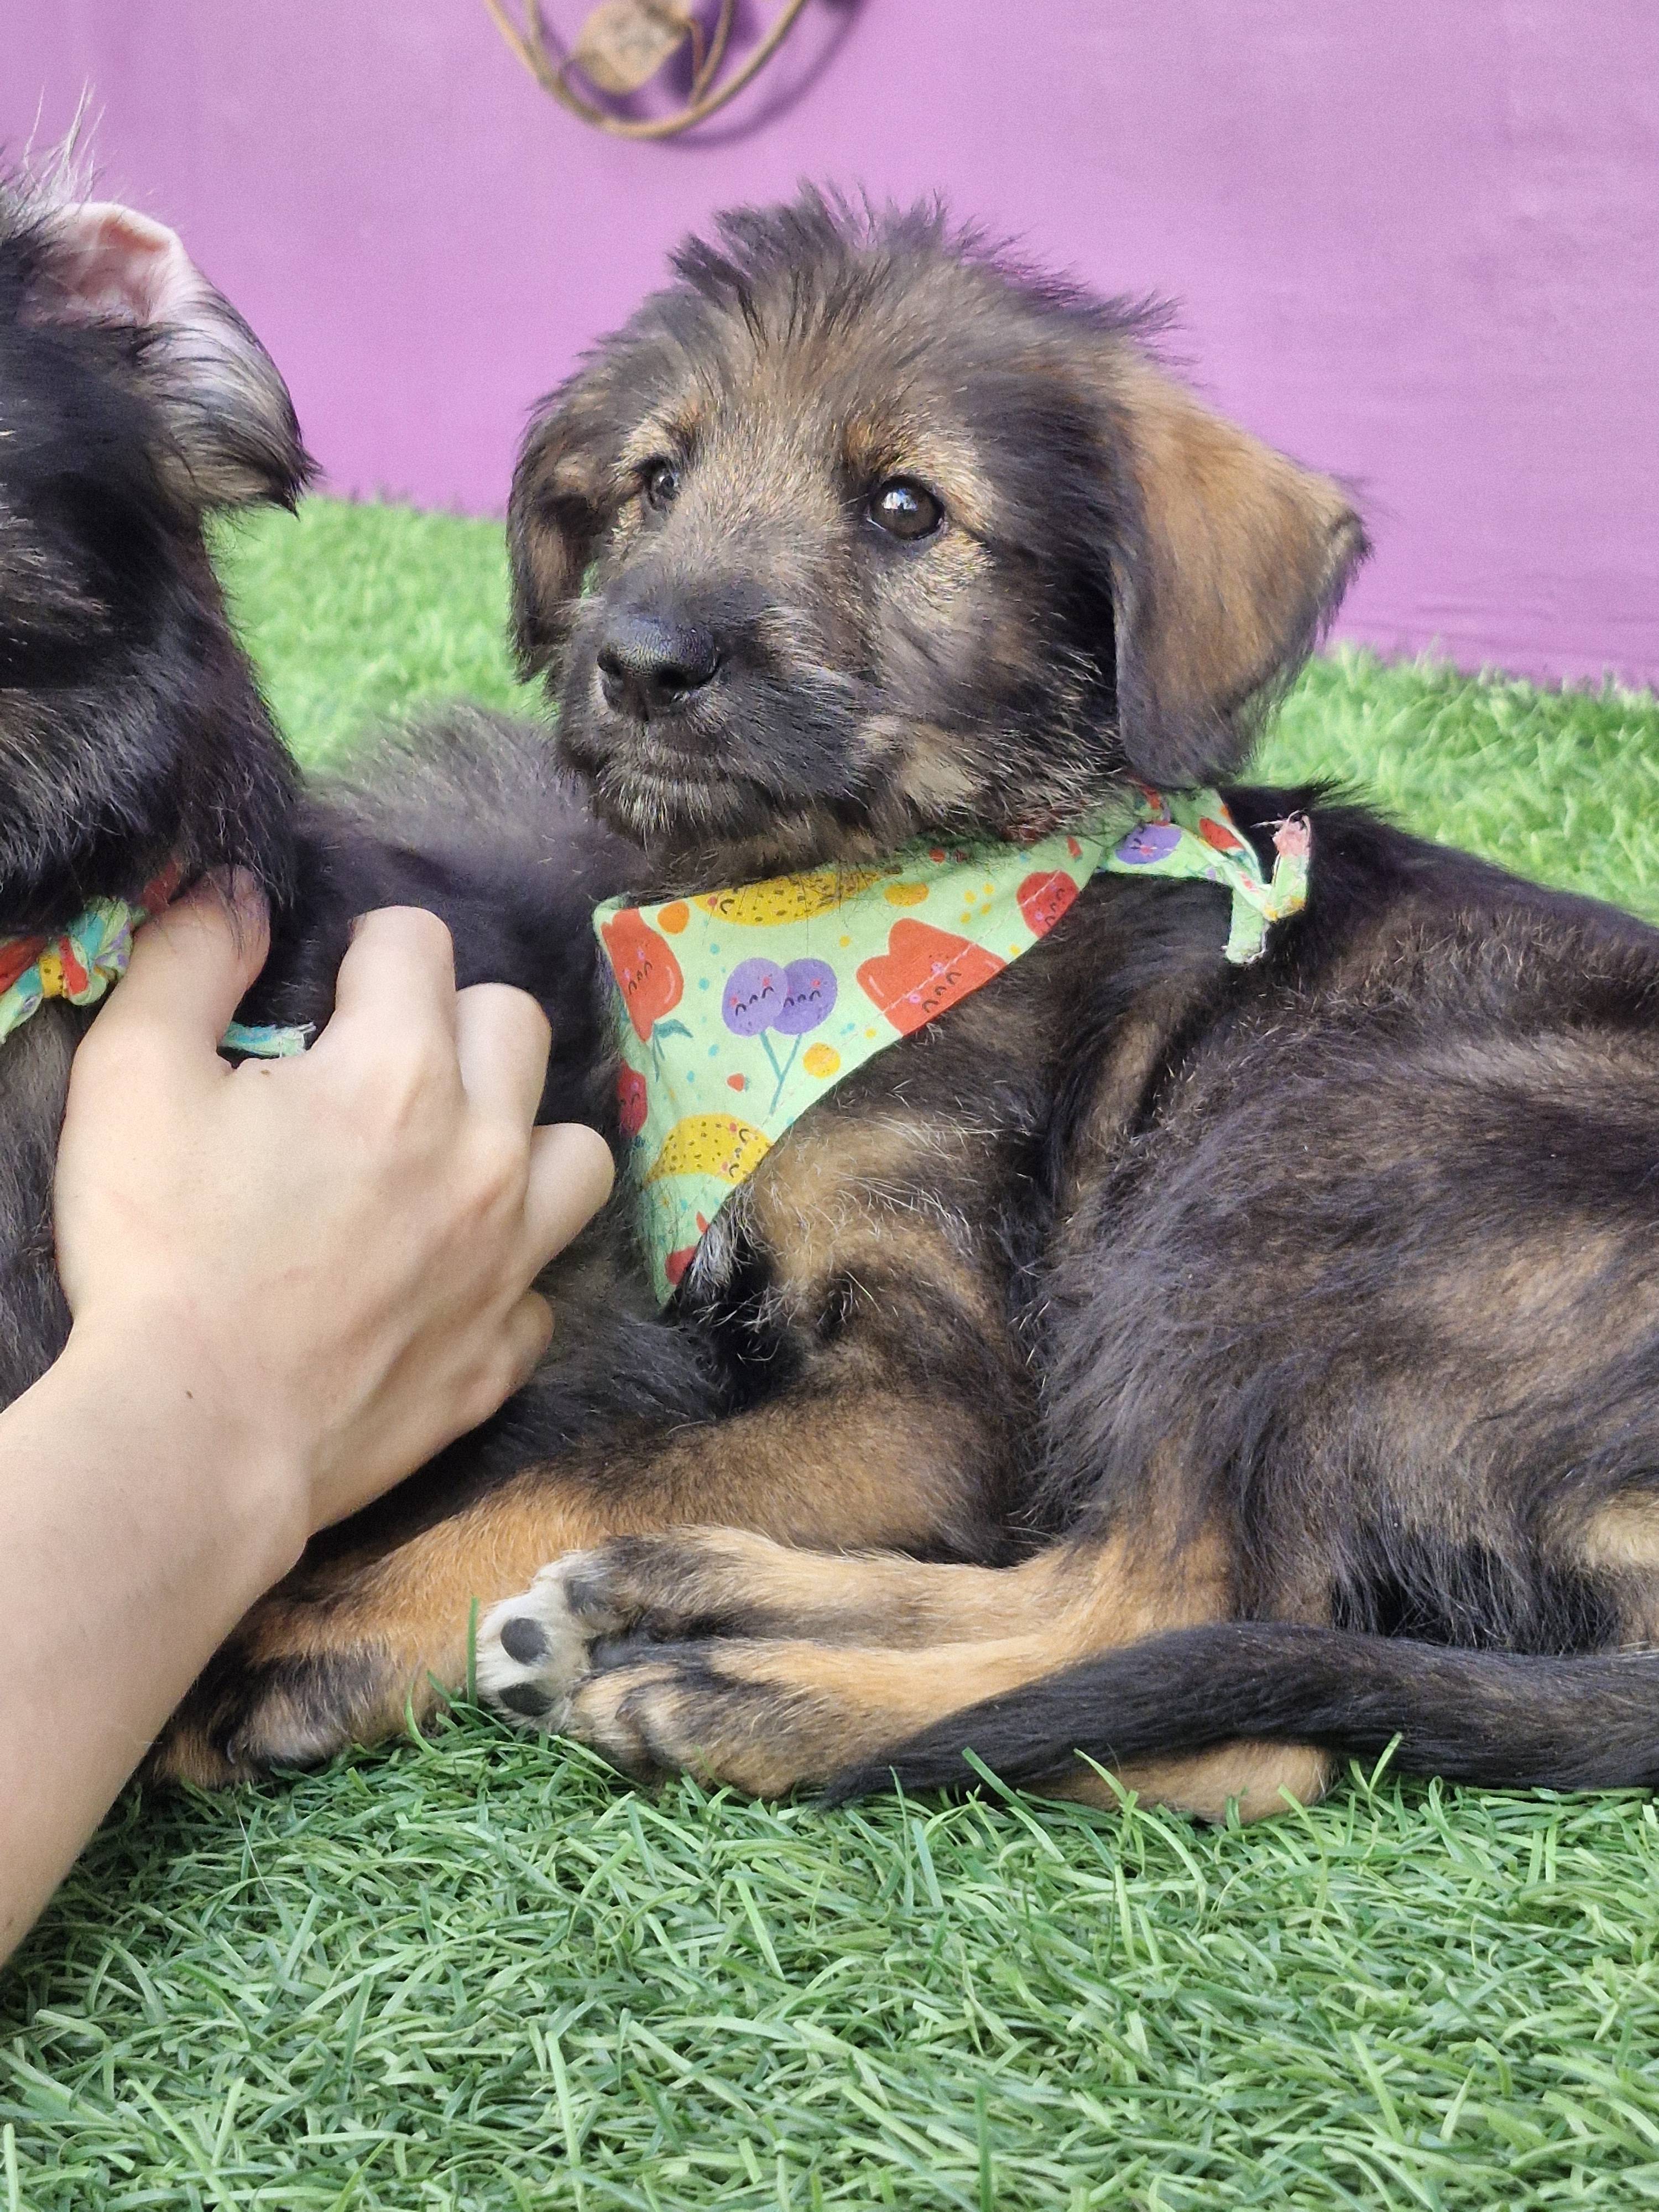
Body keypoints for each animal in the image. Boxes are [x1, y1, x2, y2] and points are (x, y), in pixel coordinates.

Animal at [161, 189, 1659, 1821]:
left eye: (904, 509)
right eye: (655, 482)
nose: (639, 660)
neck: (818, 905)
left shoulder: (949, 1397)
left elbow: (609, 1459)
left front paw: (326, 1622)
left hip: (1299, 1169)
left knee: (1192, 1649)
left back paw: (741, 1693)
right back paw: (686, 1601)